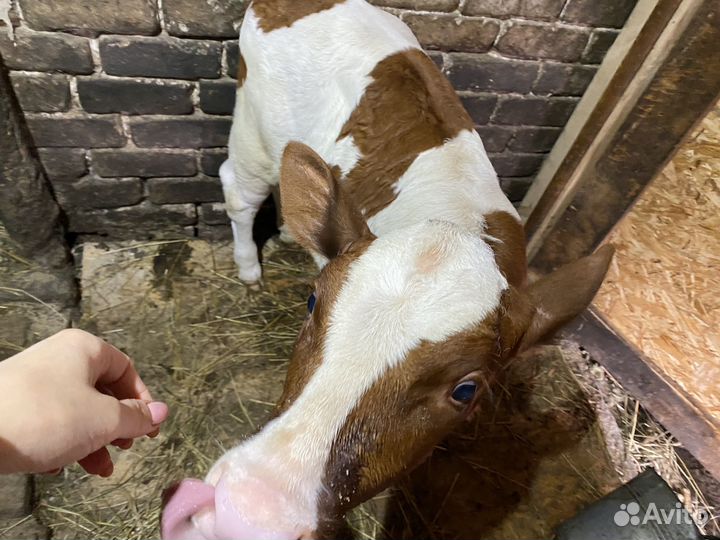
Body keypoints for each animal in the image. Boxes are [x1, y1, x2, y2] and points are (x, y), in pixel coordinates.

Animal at [161, 1, 614, 539]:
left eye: (466, 389)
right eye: (312, 302)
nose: (245, 513)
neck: (454, 217)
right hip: (253, 130)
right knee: (238, 187)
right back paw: (250, 268)